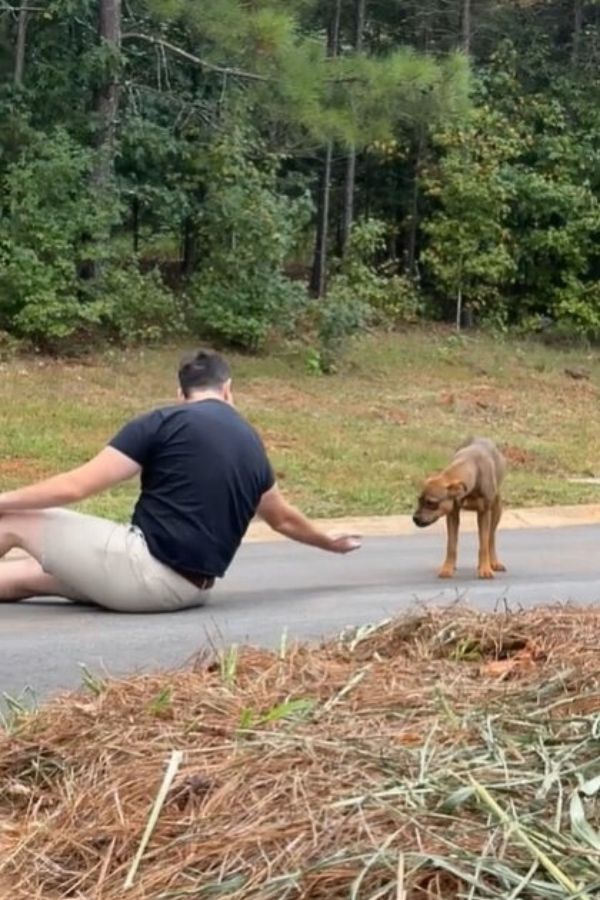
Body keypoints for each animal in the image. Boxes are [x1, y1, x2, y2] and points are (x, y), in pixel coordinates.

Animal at [412, 438, 506, 580]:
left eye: (432, 503)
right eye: (419, 500)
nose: (415, 518)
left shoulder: (484, 513)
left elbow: (483, 544)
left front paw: (485, 569)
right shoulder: (452, 514)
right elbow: (451, 545)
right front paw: (447, 568)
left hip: (496, 508)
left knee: (490, 538)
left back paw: (493, 562)